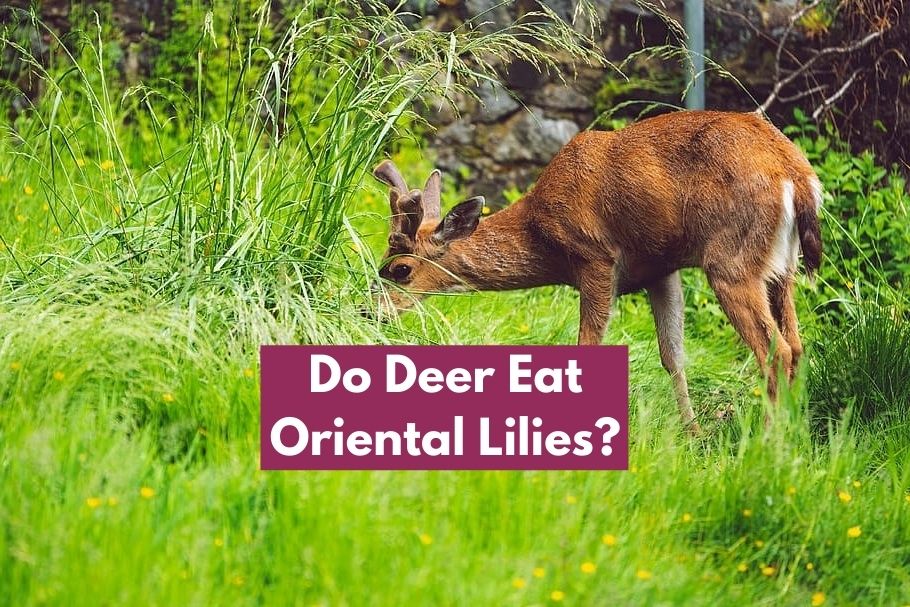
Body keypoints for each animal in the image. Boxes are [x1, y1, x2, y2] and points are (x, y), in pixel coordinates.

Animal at [371, 110, 822, 433]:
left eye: (401, 269)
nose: (372, 312)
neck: (541, 233)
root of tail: (796, 175)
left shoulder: (595, 257)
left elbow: (587, 346)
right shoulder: (660, 269)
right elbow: (673, 356)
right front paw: (692, 434)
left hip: (730, 260)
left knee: (776, 350)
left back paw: (768, 439)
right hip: (781, 268)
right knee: (797, 345)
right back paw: (793, 433)